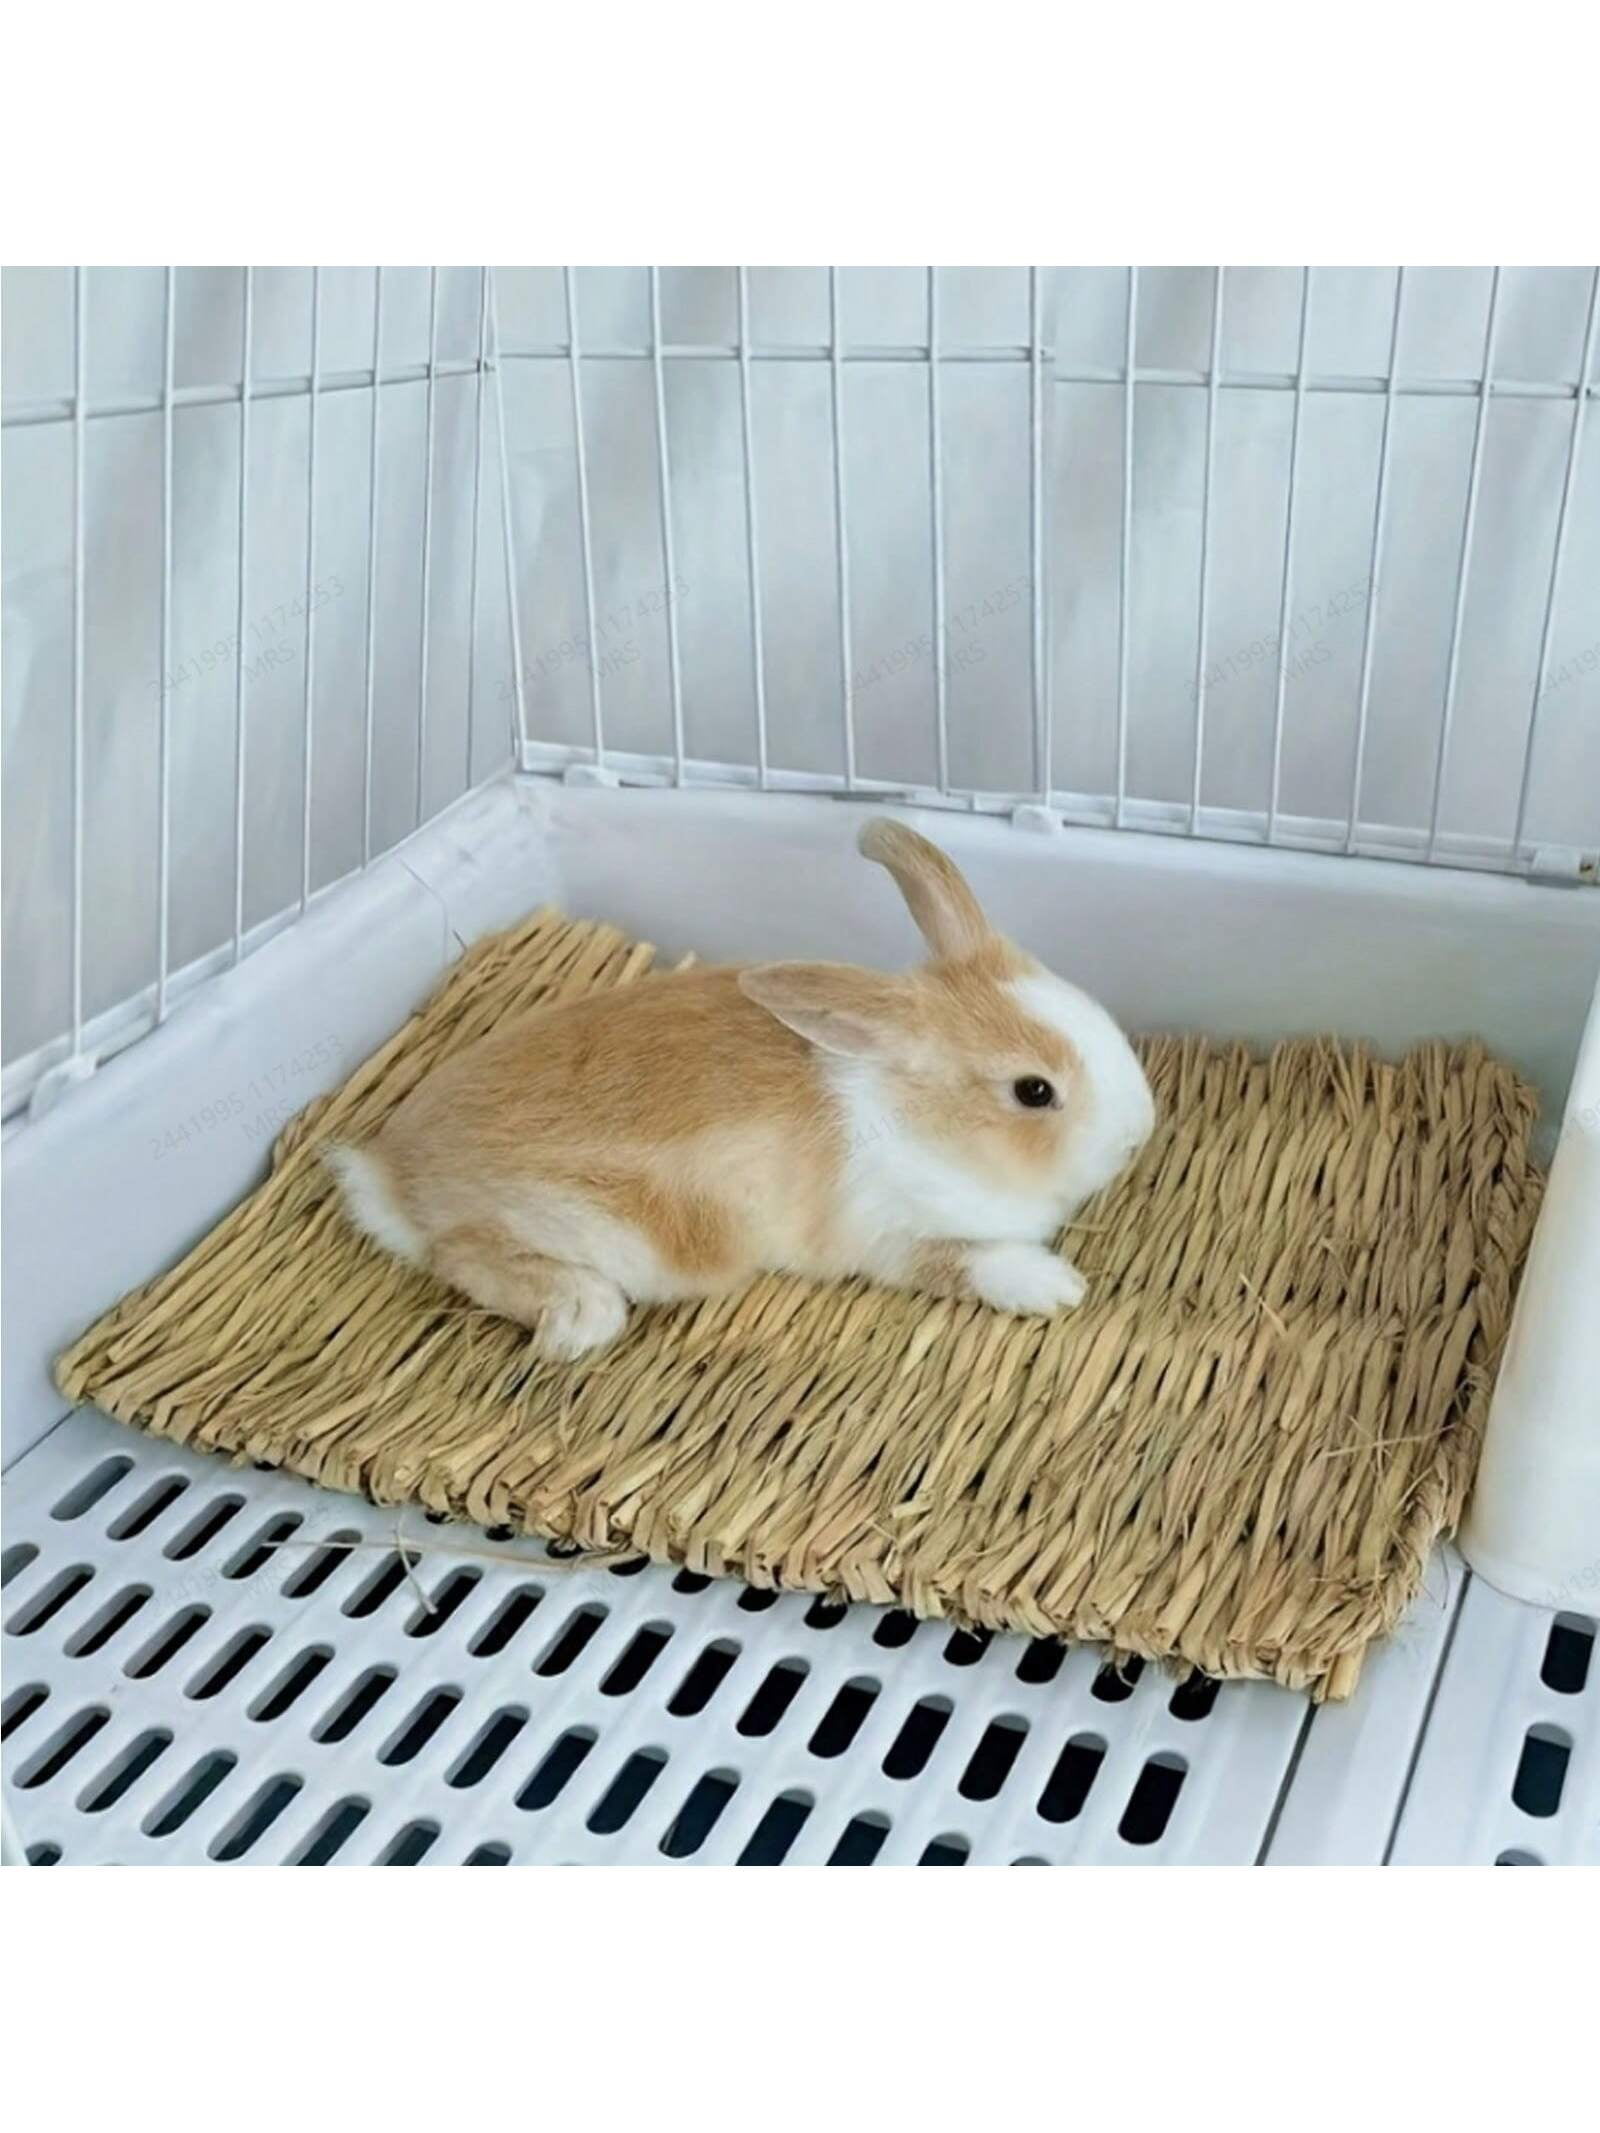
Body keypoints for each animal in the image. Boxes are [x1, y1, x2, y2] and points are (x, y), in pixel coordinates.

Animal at [327, 817, 1155, 1359]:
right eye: (1034, 1091)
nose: (1139, 1130)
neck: (918, 1118)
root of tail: (389, 1170)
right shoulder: (890, 1236)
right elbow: (969, 1260)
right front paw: (1056, 1285)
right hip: (594, 1229)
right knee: (458, 1253)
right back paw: (580, 1313)